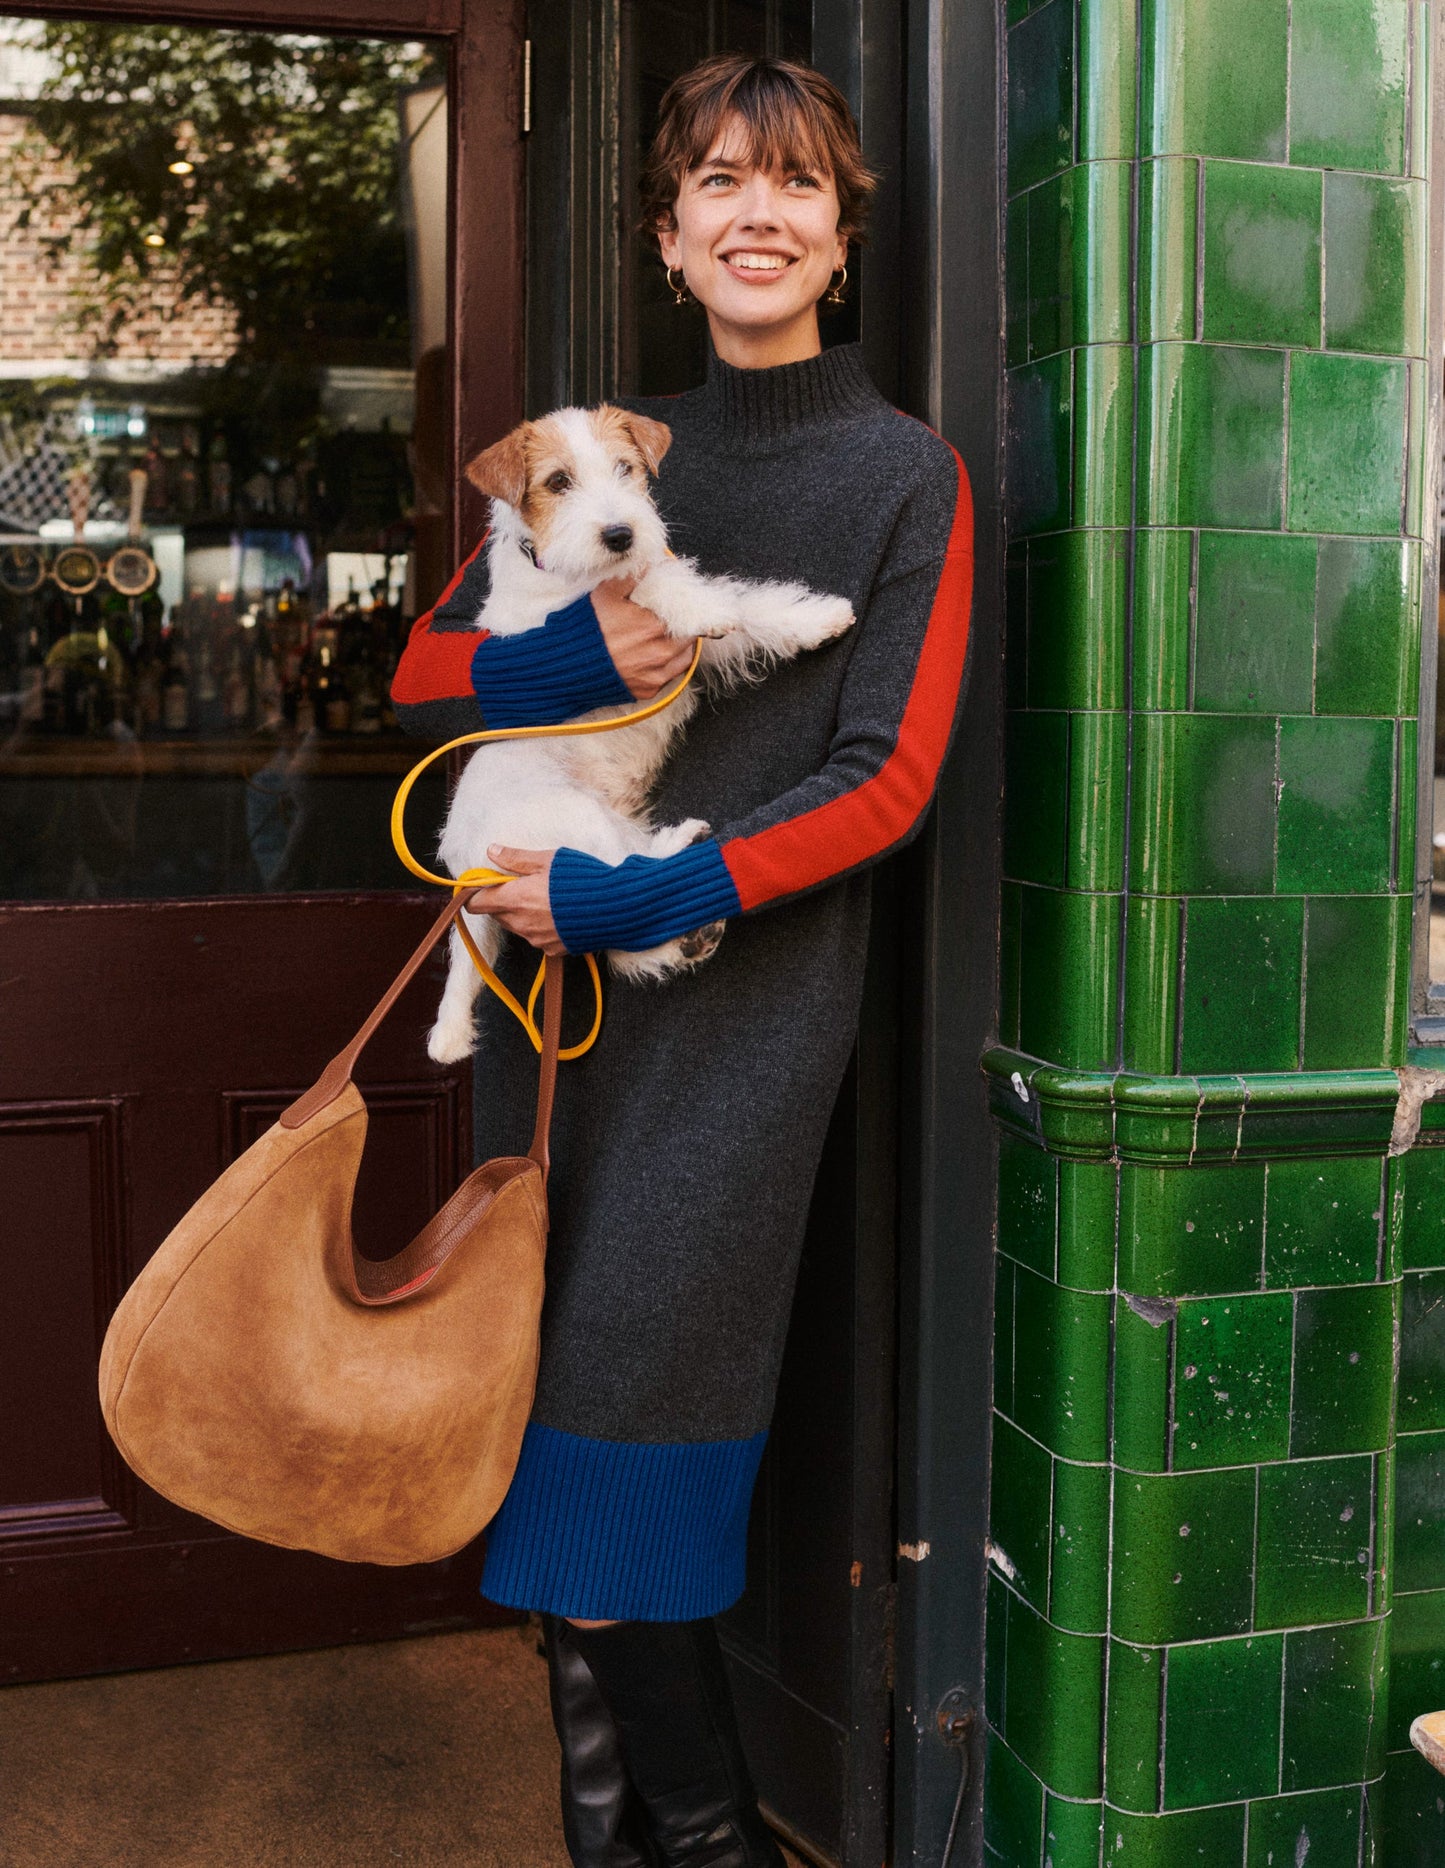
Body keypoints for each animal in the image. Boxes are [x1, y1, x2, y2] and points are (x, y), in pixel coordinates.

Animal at [426, 402, 855, 1064]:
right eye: (558, 482)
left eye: (625, 468)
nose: (620, 535)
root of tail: (466, 862)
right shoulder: (582, 618)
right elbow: (668, 590)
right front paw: (706, 609)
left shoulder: (687, 649)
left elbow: (751, 609)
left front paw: (818, 618)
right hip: (571, 819)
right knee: (608, 880)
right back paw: (680, 843)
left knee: (613, 918)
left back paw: (685, 936)